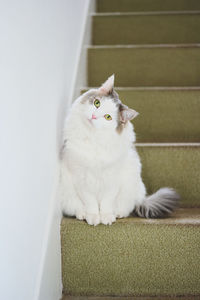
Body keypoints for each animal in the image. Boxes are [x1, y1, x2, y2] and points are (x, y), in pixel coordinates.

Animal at [59, 74, 180, 225]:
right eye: (97, 103)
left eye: (108, 117)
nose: (93, 116)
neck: (93, 139)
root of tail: (142, 198)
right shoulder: (81, 178)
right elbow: (90, 202)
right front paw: (93, 217)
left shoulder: (113, 178)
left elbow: (106, 202)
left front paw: (106, 217)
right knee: (76, 208)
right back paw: (82, 215)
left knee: (126, 208)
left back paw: (117, 214)